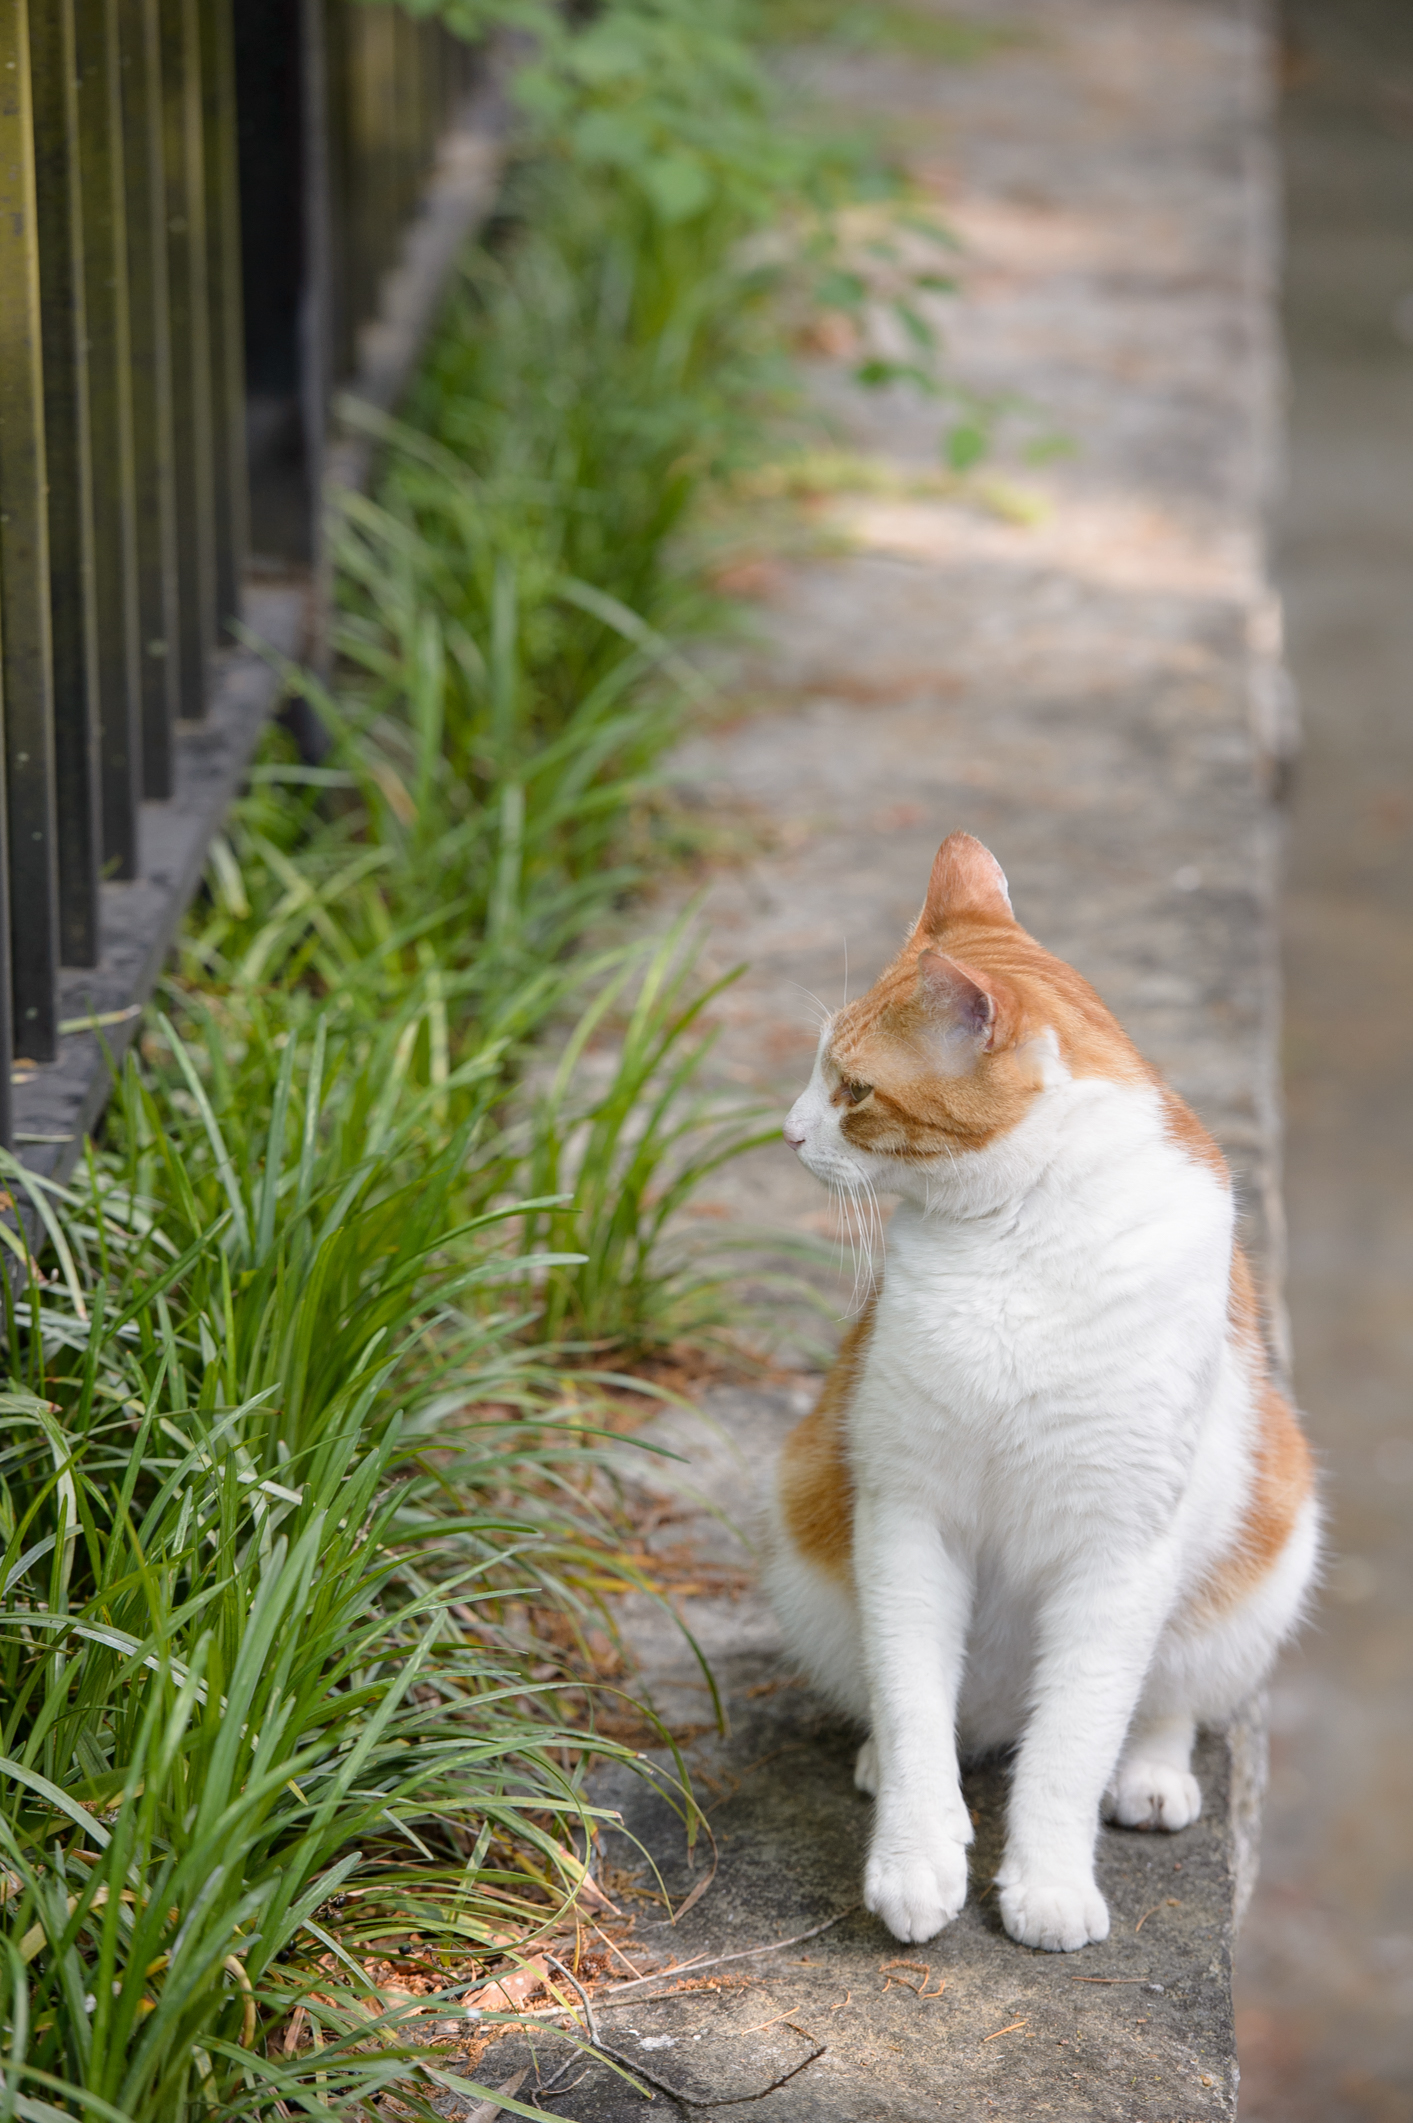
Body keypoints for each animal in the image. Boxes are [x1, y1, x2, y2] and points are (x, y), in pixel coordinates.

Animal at [763, 832, 1315, 1953]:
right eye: (819, 1073)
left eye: (852, 1089)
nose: (788, 1132)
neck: (1013, 1235)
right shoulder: (907, 1516)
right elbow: (915, 1704)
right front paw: (914, 1858)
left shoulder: (1120, 1548)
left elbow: (1070, 1743)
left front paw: (1050, 1883)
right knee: (915, 1704)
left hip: (1263, 1562)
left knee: (1157, 1703)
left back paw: (1149, 1776)